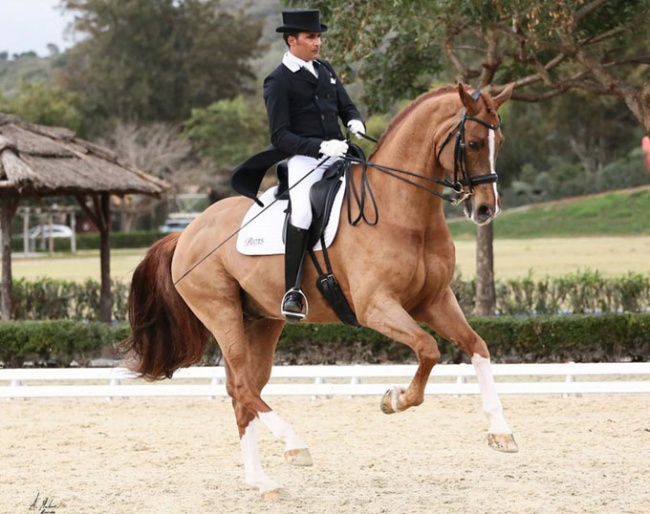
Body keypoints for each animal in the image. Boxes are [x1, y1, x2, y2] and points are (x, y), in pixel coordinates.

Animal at [121, 83, 516, 496]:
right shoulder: (376, 307)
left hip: (261, 321)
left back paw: (262, 482)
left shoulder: (434, 301)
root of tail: (187, 231)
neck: (404, 211)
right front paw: (394, 400)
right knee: (243, 386)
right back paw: (294, 445)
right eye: (472, 143)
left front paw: (501, 433)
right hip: (221, 311)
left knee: (244, 391)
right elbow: (428, 349)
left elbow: (476, 346)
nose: (486, 210)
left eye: (500, 141)